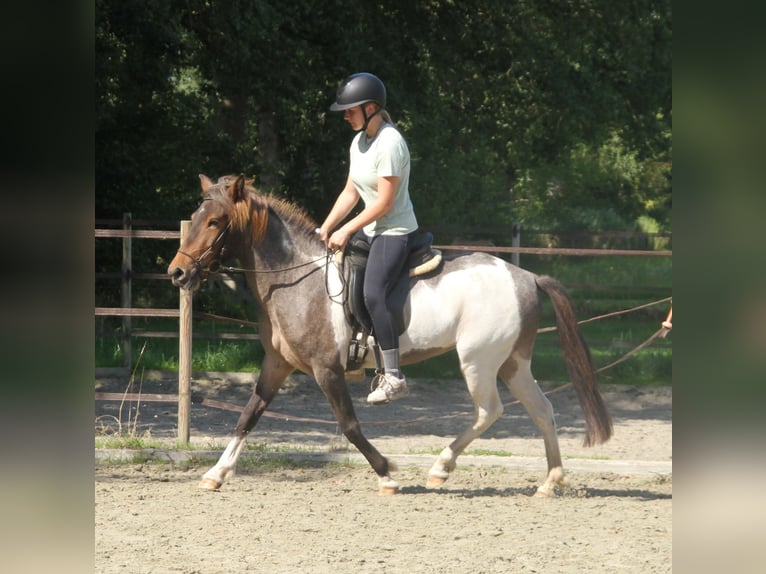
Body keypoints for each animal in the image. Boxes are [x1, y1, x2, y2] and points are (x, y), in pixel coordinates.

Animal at [167, 174, 613, 496]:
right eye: (197, 216)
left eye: (215, 222)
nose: (177, 273)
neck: (296, 279)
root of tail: (526, 276)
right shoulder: (277, 364)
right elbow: (248, 415)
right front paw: (216, 473)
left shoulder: (326, 369)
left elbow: (349, 425)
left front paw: (386, 474)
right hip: (512, 363)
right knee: (542, 410)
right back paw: (550, 481)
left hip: (478, 360)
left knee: (490, 411)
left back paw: (441, 467)